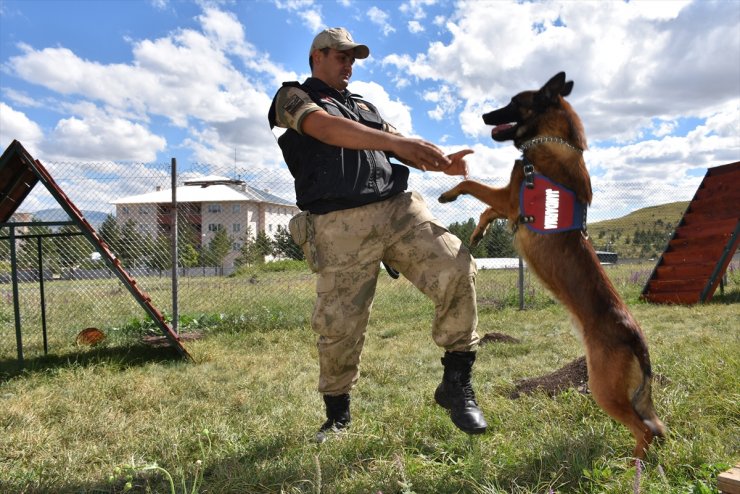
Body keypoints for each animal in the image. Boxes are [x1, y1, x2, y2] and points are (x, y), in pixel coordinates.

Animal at [440, 71, 664, 458]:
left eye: (515, 102)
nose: (483, 116)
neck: (554, 140)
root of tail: (635, 336)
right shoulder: (507, 204)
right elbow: (486, 210)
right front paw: (478, 234)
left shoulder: (510, 198)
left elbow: (471, 183)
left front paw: (449, 194)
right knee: (656, 425)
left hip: (603, 388)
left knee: (644, 430)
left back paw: (632, 462)